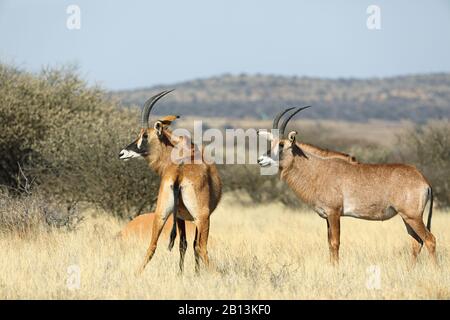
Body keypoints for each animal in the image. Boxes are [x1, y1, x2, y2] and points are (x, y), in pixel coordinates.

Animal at [118, 89, 220, 272]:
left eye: (144, 135)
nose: (122, 153)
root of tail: (179, 173)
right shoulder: (193, 218)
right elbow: (193, 245)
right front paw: (196, 273)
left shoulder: (178, 216)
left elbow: (182, 244)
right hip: (202, 217)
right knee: (201, 247)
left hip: (161, 214)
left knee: (152, 245)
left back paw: (137, 273)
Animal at [256, 107, 436, 264]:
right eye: (272, 143)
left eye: (281, 145)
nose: (260, 160)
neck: (318, 169)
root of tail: (423, 181)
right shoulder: (327, 217)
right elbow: (329, 244)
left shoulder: (334, 213)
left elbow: (335, 243)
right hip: (407, 218)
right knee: (416, 243)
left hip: (413, 216)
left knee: (429, 240)